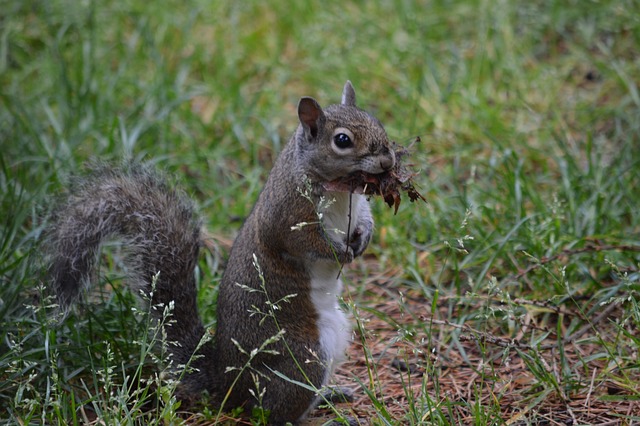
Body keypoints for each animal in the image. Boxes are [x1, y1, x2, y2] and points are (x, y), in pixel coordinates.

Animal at [46, 80, 396, 422]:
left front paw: (363, 237)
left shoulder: (356, 203)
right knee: (276, 413)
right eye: (342, 140)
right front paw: (340, 253)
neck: (340, 189)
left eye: (377, 121)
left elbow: (365, 217)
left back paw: (329, 395)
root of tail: (228, 386)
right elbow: (304, 241)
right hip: (303, 358)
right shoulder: (288, 212)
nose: (388, 162)